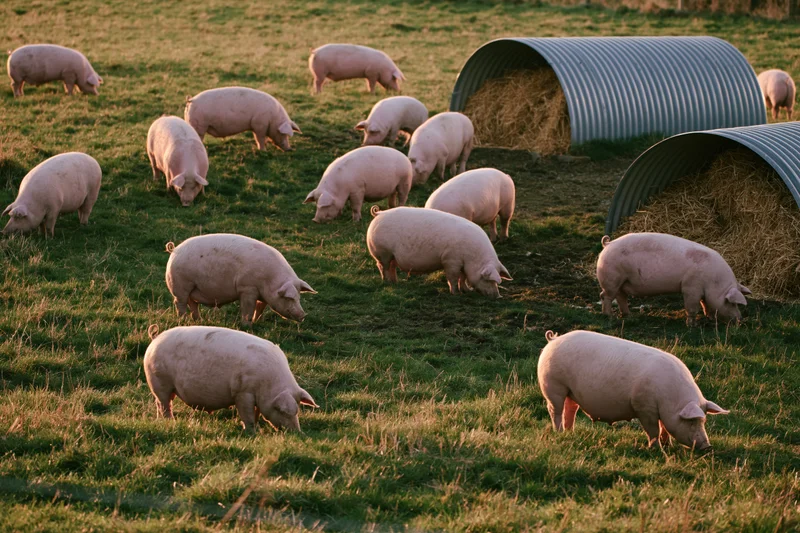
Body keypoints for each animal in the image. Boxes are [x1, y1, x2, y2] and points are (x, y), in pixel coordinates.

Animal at [144, 325, 318, 432]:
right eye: (282, 410)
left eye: (297, 410)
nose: (296, 432)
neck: (268, 384)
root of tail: (155, 339)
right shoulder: (243, 393)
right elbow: (247, 414)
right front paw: (252, 432)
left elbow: (255, 413)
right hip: (159, 382)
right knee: (164, 404)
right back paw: (170, 421)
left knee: (161, 404)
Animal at [165, 233, 316, 325]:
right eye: (289, 298)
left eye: (299, 297)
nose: (303, 315)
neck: (270, 281)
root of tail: (174, 250)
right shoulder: (247, 288)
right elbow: (248, 307)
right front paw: (247, 325)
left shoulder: (262, 295)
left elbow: (260, 308)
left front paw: (257, 321)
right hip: (180, 285)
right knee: (180, 302)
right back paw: (183, 319)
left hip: (192, 288)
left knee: (193, 303)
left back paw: (198, 320)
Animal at [366, 206, 512, 297]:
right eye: (488, 279)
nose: (498, 296)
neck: (473, 258)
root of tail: (379, 213)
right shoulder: (451, 260)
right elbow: (453, 277)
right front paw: (456, 293)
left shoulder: (461, 263)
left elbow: (463, 277)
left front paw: (467, 290)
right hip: (382, 252)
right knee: (382, 266)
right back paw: (387, 282)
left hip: (392, 256)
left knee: (391, 267)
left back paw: (395, 282)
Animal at [538, 330, 729, 450]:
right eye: (691, 421)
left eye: (703, 421)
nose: (707, 446)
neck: (671, 399)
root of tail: (553, 340)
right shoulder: (644, 406)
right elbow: (653, 429)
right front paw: (656, 448)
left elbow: (664, 426)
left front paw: (667, 444)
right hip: (553, 385)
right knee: (555, 410)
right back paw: (559, 432)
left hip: (570, 391)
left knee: (571, 408)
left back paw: (570, 432)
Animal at [597, 233, 751, 326]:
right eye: (732, 303)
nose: (740, 320)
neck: (714, 282)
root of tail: (608, 244)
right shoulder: (690, 287)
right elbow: (692, 307)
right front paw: (692, 325)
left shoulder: (701, 290)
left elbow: (705, 304)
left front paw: (710, 318)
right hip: (611, 278)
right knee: (605, 296)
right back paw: (609, 316)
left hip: (621, 282)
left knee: (621, 297)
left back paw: (628, 315)